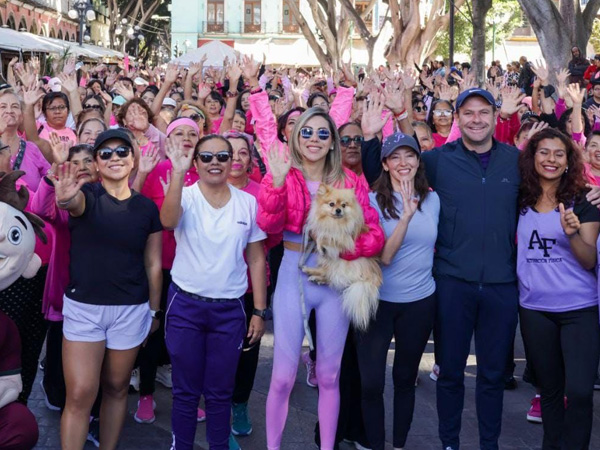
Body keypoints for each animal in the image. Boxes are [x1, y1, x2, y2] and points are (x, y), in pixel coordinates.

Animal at [302, 184, 382, 331]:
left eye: (344, 205)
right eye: (331, 204)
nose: (338, 210)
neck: (334, 222)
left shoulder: (343, 238)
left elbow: (330, 238)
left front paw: (325, 243)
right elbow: (321, 235)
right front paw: (320, 244)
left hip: (343, 264)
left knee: (333, 276)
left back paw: (313, 274)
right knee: (329, 274)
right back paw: (312, 273)